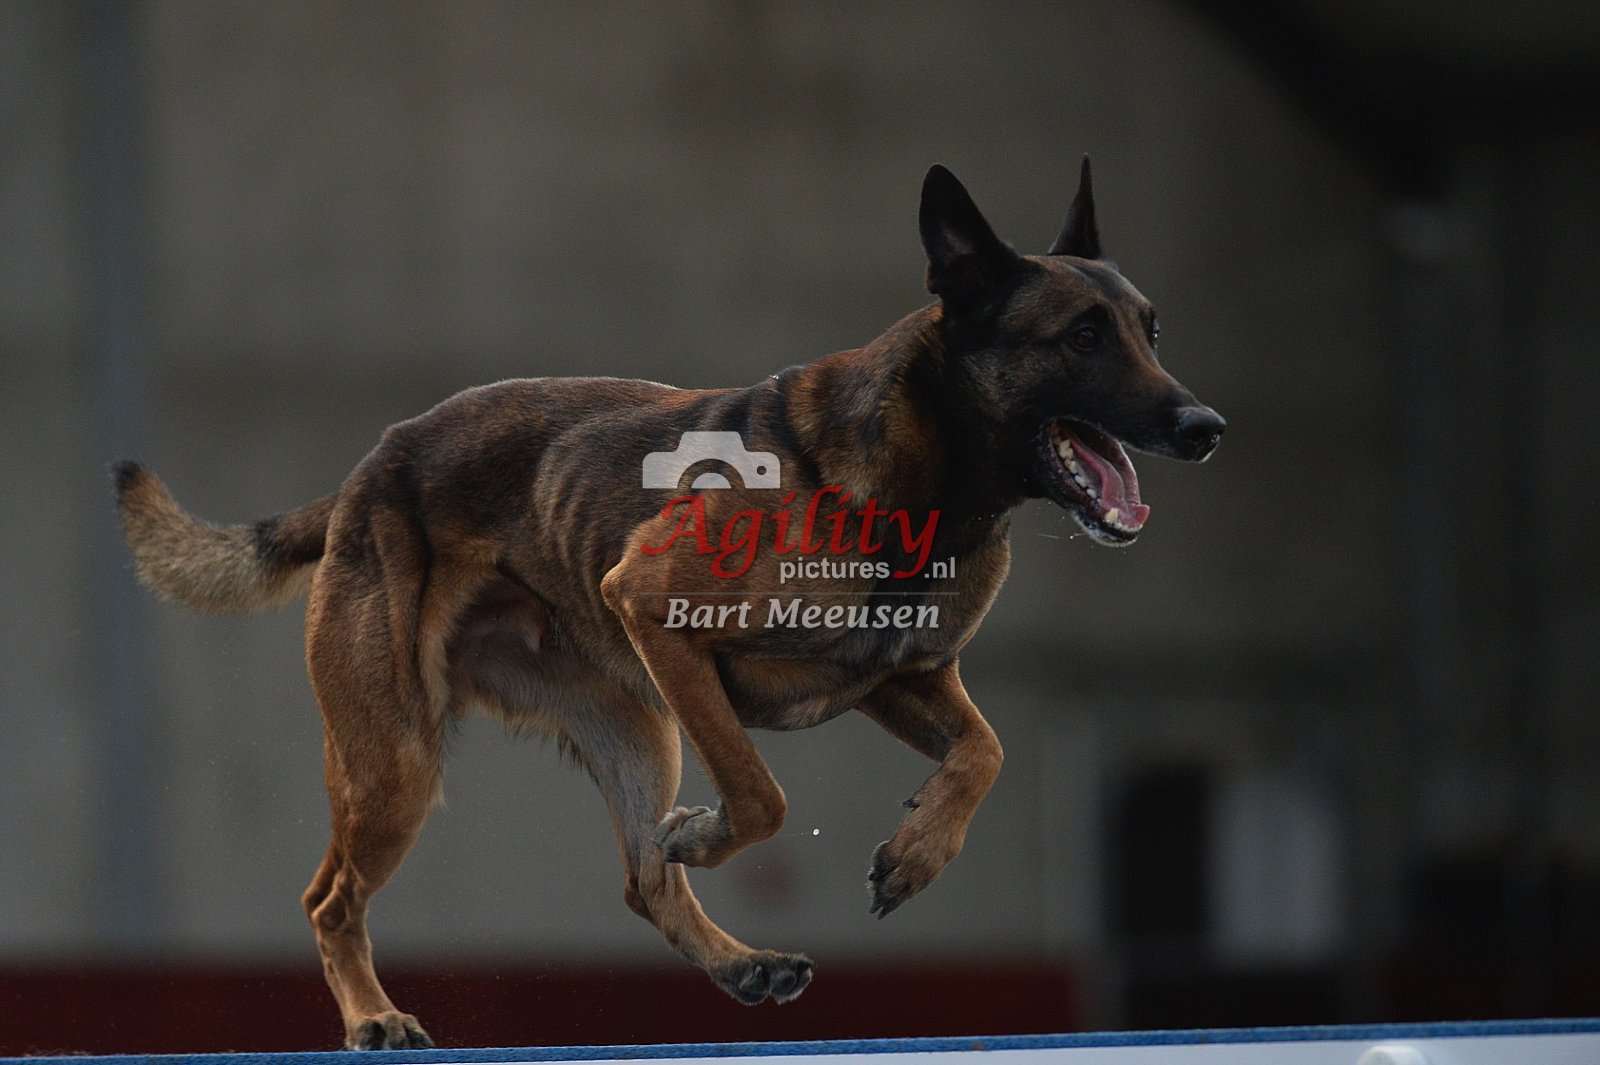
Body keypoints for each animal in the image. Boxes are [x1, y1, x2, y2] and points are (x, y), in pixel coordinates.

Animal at [114, 159, 1223, 1050]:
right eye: (1081, 338)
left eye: (1150, 331)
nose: (1205, 425)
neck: (924, 481)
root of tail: (369, 467)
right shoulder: (658, 616)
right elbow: (761, 795)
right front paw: (711, 833)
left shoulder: (902, 680)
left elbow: (982, 752)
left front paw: (916, 855)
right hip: (400, 757)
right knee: (332, 897)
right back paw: (374, 1017)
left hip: (631, 724)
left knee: (641, 882)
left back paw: (739, 962)